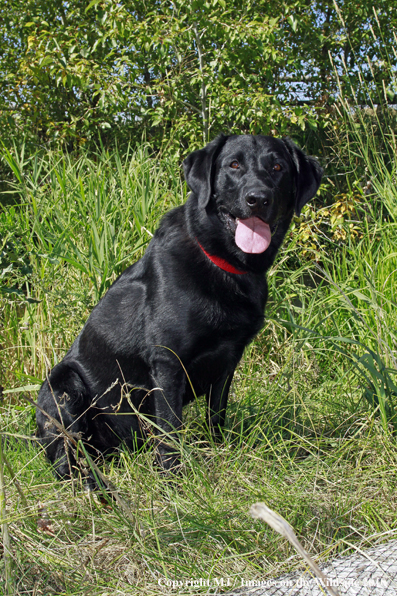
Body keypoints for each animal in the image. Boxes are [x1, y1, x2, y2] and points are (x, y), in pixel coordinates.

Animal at [37, 135, 322, 480]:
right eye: (234, 164)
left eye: (278, 167)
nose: (258, 199)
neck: (226, 265)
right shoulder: (168, 362)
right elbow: (170, 429)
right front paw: (173, 477)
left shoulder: (228, 359)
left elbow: (216, 414)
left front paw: (218, 451)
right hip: (61, 387)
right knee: (67, 460)